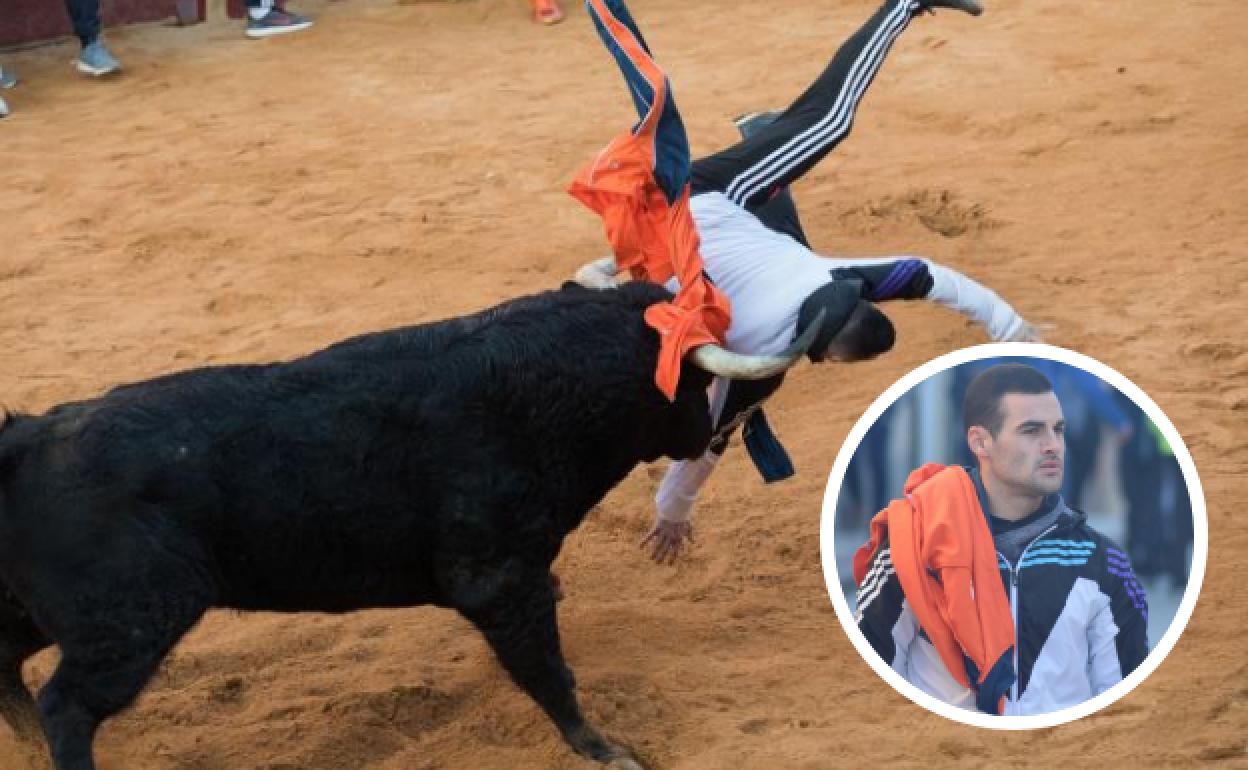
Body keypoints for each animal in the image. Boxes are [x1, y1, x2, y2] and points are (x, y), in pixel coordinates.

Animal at [0, 283, 818, 768]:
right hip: (129, 624)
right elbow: (549, 673)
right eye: (693, 376)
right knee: (66, 705)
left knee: (10, 668)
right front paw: (604, 748)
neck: (537, 393)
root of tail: (28, 436)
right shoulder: (499, 581)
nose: (707, 435)